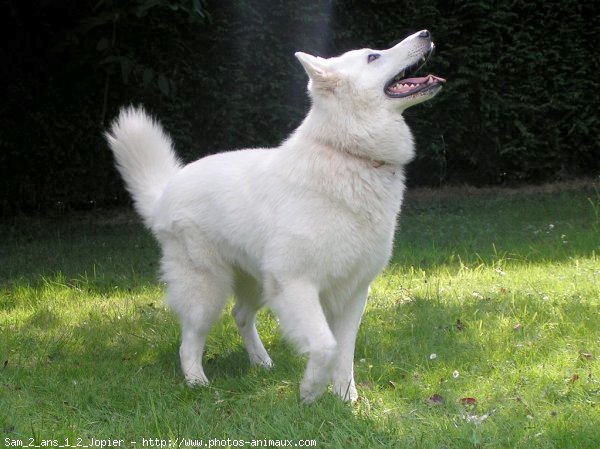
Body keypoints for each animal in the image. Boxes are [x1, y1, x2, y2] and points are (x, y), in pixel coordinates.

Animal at [106, 29, 446, 400]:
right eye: (373, 56)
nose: (426, 33)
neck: (349, 154)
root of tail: (166, 189)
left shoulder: (354, 293)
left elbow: (344, 353)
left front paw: (346, 399)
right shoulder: (297, 285)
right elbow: (326, 347)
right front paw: (311, 391)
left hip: (257, 284)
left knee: (241, 315)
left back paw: (261, 362)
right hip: (207, 289)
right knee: (190, 340)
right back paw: (197, 382)